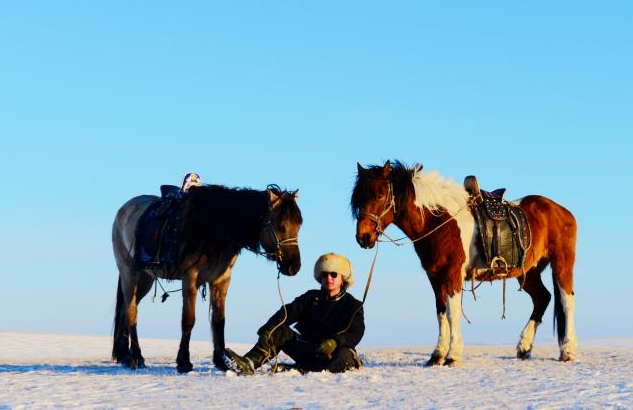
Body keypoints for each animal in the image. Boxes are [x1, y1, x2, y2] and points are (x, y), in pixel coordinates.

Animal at [350, 160, 576, 366]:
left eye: (380, 195)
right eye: (358, 199)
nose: (363, 237)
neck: (438, 220)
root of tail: (562, 211)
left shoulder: (452, 274)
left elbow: (452, 312)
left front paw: (452, 354)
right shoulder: (435, 276)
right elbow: (440, 311)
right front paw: (437, 354)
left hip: (562, 264)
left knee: (567, 300)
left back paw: (568, 350)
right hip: (528, 271)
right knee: (542, 298)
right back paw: (524, 347)